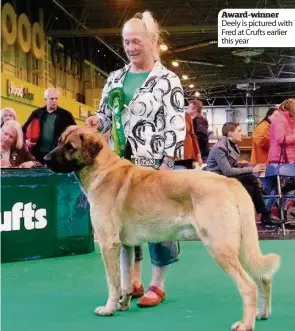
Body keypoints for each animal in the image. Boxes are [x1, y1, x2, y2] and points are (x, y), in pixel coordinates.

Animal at [43, 126, 280, 330]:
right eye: (59, 142)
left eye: (70, 147)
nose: (44, 159)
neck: (101, 169)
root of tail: (231, 183)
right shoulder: (125, 246)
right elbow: (125, 280)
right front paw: (123, 303)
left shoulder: (108, 244)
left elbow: (113, 282)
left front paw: (109, 308)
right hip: (241, 247)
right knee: (264, 278)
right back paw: (262, 314)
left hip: (220, 246)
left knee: (248, 286)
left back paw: (246, 324)